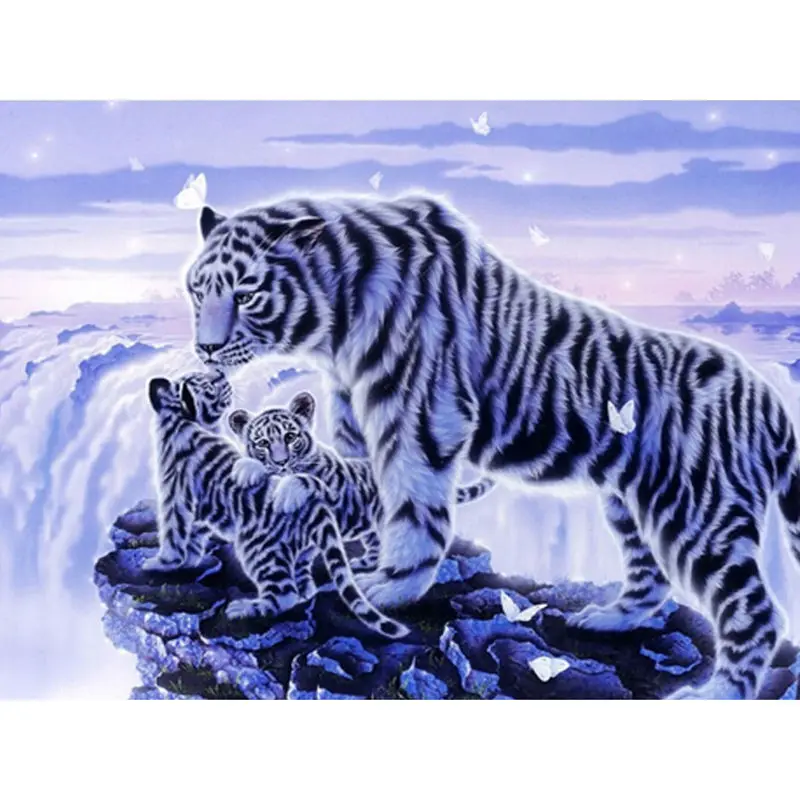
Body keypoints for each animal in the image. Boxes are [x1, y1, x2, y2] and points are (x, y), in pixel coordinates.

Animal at [144, 369, 409, 639]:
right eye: (208, 384)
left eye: (290, 437)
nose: (221, 375)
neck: (185, 423)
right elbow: (194, 534)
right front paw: (189, 560)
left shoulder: (174, 495)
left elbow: (173, 533)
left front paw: (163, 563)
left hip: (258, 550)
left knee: (284, 594)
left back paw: (244, 608)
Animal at [226, 389, 495, 574]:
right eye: (262, 443)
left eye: (290, 437)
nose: (281, 462)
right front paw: (245, 469)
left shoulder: (337, 492)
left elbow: (307, 479)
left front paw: (287, 494)